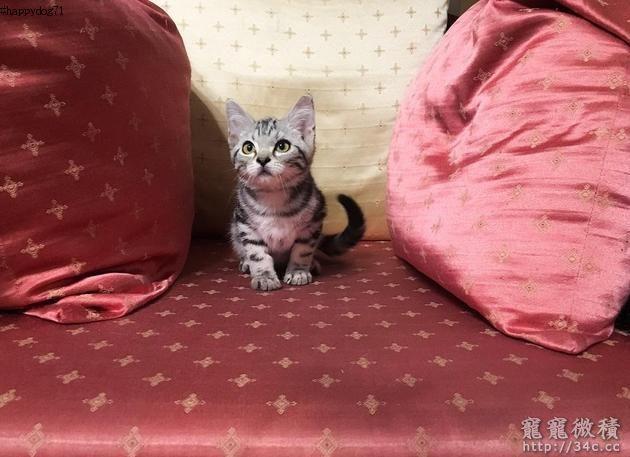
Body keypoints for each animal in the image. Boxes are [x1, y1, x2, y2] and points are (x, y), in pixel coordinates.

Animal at [226, 95, 365, 291]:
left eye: (282, 146)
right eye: (248, 148)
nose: (262, 159)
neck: (273, 198)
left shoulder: (312, 224)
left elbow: (302, 250)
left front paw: (298, 271)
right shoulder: (245, 225)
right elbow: (257, 253)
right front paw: (264, 275)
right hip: (234, 229)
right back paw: (246, 262)